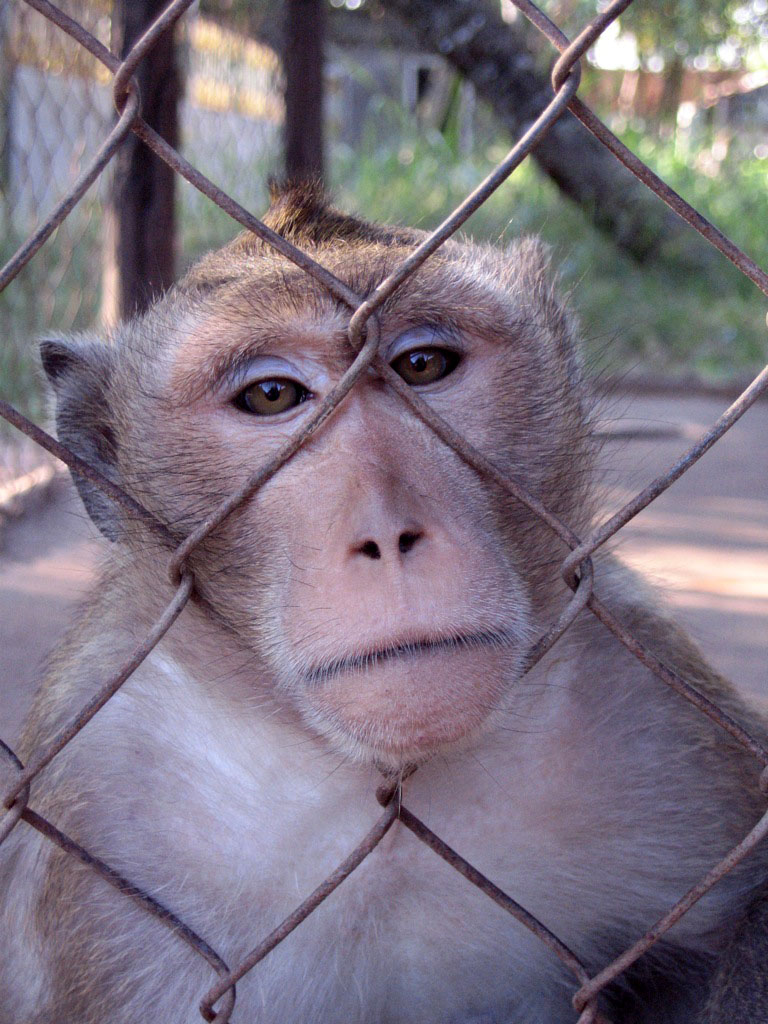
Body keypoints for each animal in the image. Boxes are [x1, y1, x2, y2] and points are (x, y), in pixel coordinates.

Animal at [0, 184, 767, 1024]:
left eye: (422, 365)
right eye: (271, 395)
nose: (388, 533)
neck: (378, 785)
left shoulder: (646, 693)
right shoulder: (99, 798)